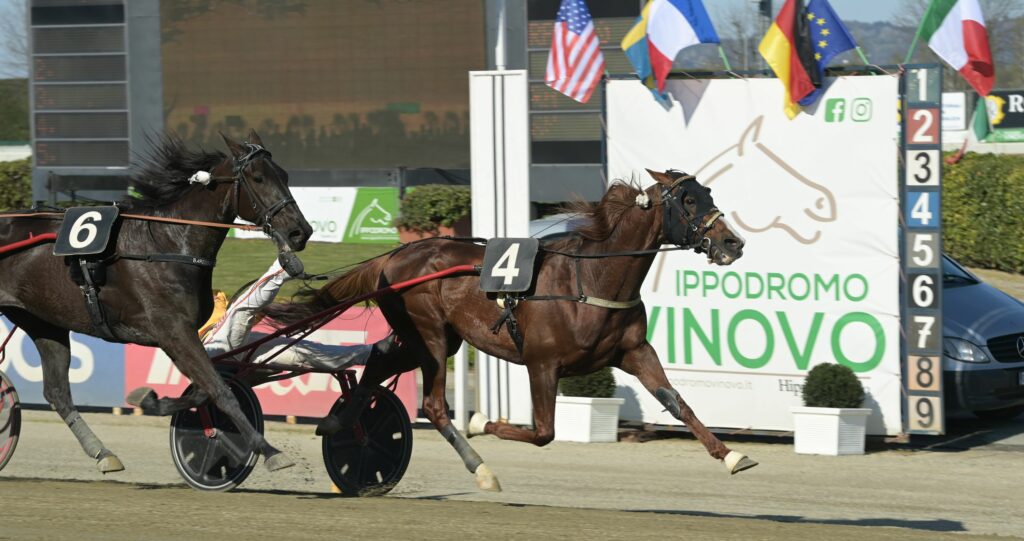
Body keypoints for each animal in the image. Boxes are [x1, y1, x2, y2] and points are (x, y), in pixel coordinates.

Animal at [0, 131, 309, 473]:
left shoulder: (178, 335)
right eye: (258, 177)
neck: (169, 244)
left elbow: (203, 391)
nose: (301, 231)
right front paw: (269, 450)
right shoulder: (173, 330)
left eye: (284, 175)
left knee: (57, 392)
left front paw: (152, 400)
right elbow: (220, 390)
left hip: (43, 322)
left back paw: (103, 453)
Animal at [270, 169, 753, 489]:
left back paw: (343, 426)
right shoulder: (542, 363)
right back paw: (481, 467)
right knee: (434, 405)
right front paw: (480, 420)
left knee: (376, 363)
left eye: (707, 193)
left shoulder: (634, 351)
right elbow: (543, 433)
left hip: (433, 338)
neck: (592, 280)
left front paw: (732, 455)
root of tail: (395, 256)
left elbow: (676, 401)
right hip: (430, 336)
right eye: (687, 201)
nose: (733, 242)